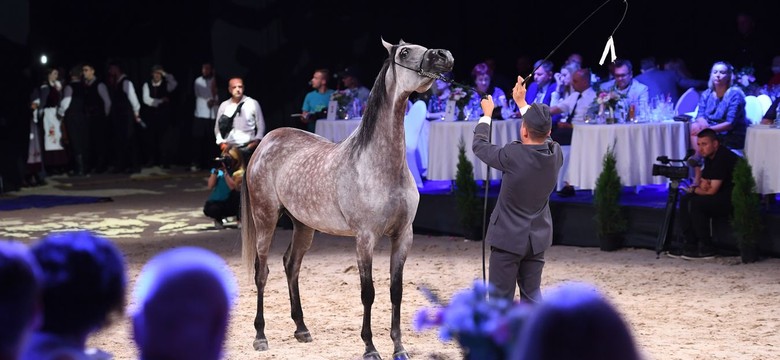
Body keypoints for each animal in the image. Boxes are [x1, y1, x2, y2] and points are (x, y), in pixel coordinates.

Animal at [241, 40, 454, 360]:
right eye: (404, 52)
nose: (444, 56)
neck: (378, 165)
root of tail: (267, 141)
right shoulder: (365, 238)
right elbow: (368, 292)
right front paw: (370, 347)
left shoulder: (403, 235)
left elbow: (396, 291)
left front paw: (399, 348)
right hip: (265, 219)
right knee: (262, 272)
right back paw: (260, 336)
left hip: (303, 225)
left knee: (291, 265)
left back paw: (302, 329)